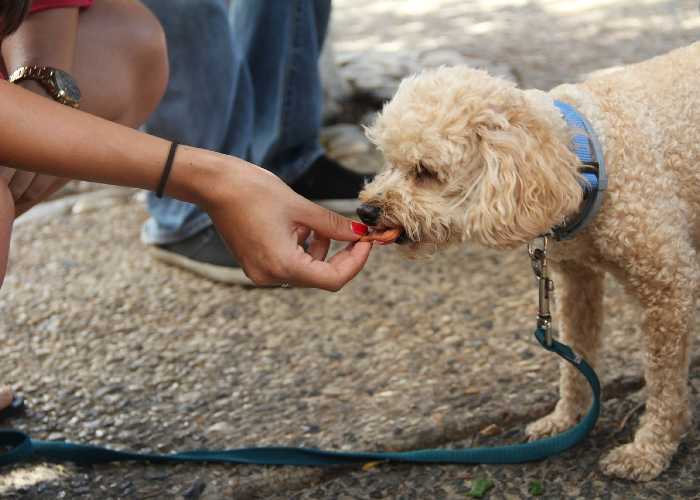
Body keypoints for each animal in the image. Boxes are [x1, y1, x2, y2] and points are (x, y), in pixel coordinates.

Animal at [356, 42, 700, 480]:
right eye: (388, 161)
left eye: (425, 171)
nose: (365, 211)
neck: (587, 158)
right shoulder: (578, 281)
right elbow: (575, 357)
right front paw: (567, 419)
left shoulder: (668, 287)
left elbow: (664, 382)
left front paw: (650, 449)